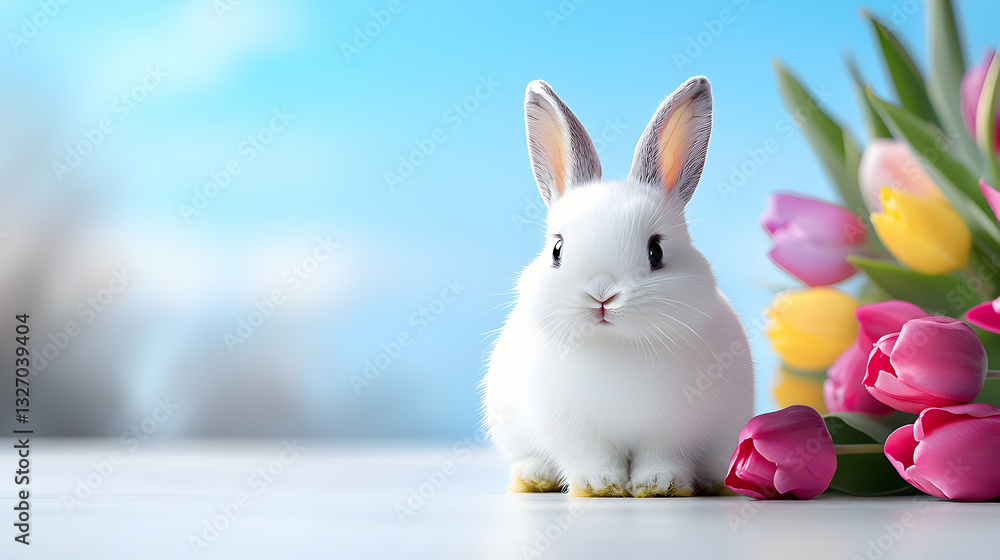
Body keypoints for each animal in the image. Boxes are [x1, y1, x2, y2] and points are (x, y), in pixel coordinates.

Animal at [483, 77, 754, 497]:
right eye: (557, 250)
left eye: (656, 251)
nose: (602, 294)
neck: (615, 345)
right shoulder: (575, 432)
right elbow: (589, 458)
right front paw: (601, 486)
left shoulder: (673, 432)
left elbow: (663, 457)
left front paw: (659, 486)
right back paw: (534, 477)